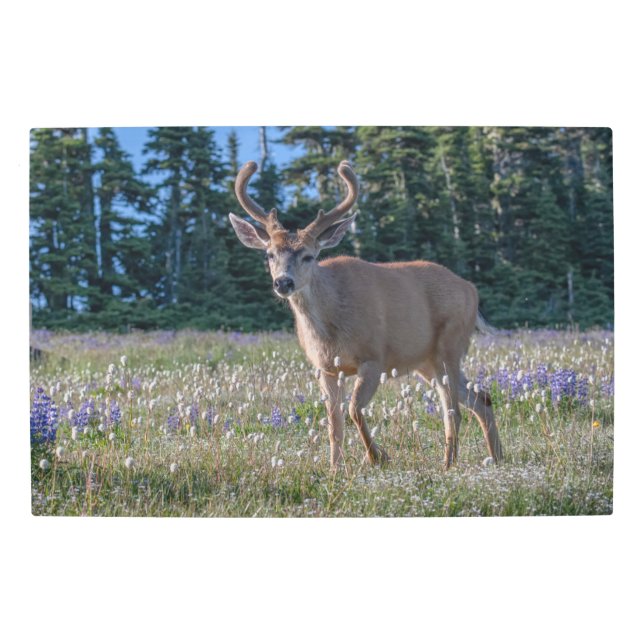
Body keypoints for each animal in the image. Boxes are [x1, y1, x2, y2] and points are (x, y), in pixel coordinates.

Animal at [229, 159, 503, 470]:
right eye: (270, 254)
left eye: (309, 255)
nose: (283, 282)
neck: (331, 326)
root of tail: (472, 290)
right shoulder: (325, 368)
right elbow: (334, 423)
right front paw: (335, 468)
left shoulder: (374, 358)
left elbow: (353, 410)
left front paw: (377, 456)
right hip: (426, 362)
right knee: (481, 397)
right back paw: (496, 456)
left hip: (450, 345)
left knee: (453, 409)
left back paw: (449, 463)